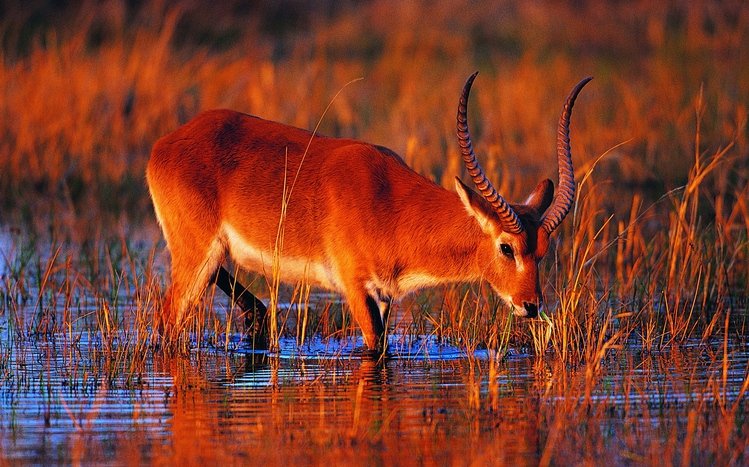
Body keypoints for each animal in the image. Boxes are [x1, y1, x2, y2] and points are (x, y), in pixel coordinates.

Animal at [146, 72, 591, 351]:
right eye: (506, 247)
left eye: (542, 250)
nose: (530, 305)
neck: (389, 204)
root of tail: (165, 144)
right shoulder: (355, 287)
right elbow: (374, 347)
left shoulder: (384, 295)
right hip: (194, 256)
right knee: (166, 321)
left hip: (210, 255)